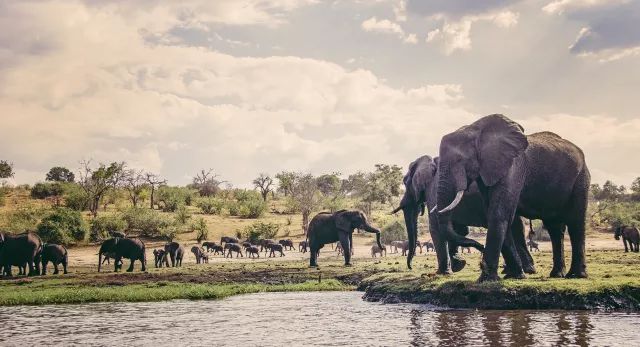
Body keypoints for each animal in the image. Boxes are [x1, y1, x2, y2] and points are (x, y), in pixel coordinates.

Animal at [392, 155, 532, 278]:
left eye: (405, 182)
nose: (410, 267)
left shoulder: (434, 192)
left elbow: (435, 228)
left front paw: (443, 273)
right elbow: (458, 229)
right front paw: (458, 265)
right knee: (515, 225)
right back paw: (522, 271)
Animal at [436, 115, 592, 282]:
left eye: (459, 160)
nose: (480, 248)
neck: (476, 130)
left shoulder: (514, 167)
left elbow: (498, 214)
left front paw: (486, 279)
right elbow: (499, 214)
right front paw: (515, 275)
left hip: (581, 179)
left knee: (575, 222)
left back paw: (576, 275)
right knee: (554, 228)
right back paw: (557, 274)